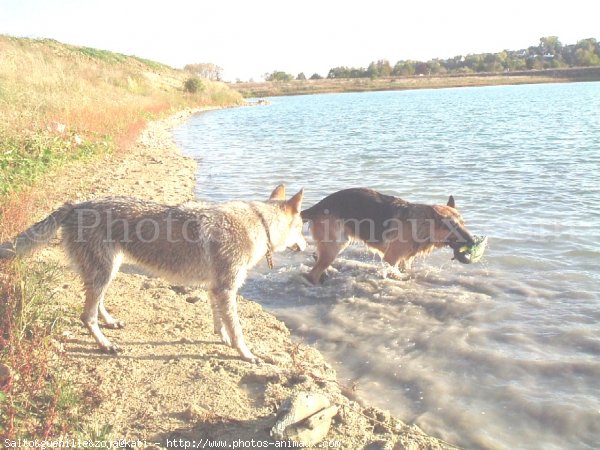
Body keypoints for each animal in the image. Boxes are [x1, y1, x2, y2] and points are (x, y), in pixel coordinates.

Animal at [0, 185, 304, 360]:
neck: (258, 223)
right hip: (105, 271)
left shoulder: (215, 288)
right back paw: (106, 345)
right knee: (86, 316)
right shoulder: (226, 288)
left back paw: (110, 323)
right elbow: (238, 330)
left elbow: (220, 321)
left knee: (97, 305)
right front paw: (246, 354)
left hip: (109, 270)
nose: (306, 244)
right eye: (302, 227)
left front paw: (223, 339)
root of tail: (74, 205)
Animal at [302, 188, 476, 284]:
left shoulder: (405, 259)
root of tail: (318, 206)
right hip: (335, 246)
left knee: (316, 258)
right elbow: (395, 273)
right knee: (312, 274)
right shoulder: (391, 258)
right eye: (453, 226)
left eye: (463, 223)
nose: (473, 241)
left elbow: (405, 270)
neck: (421, 223)